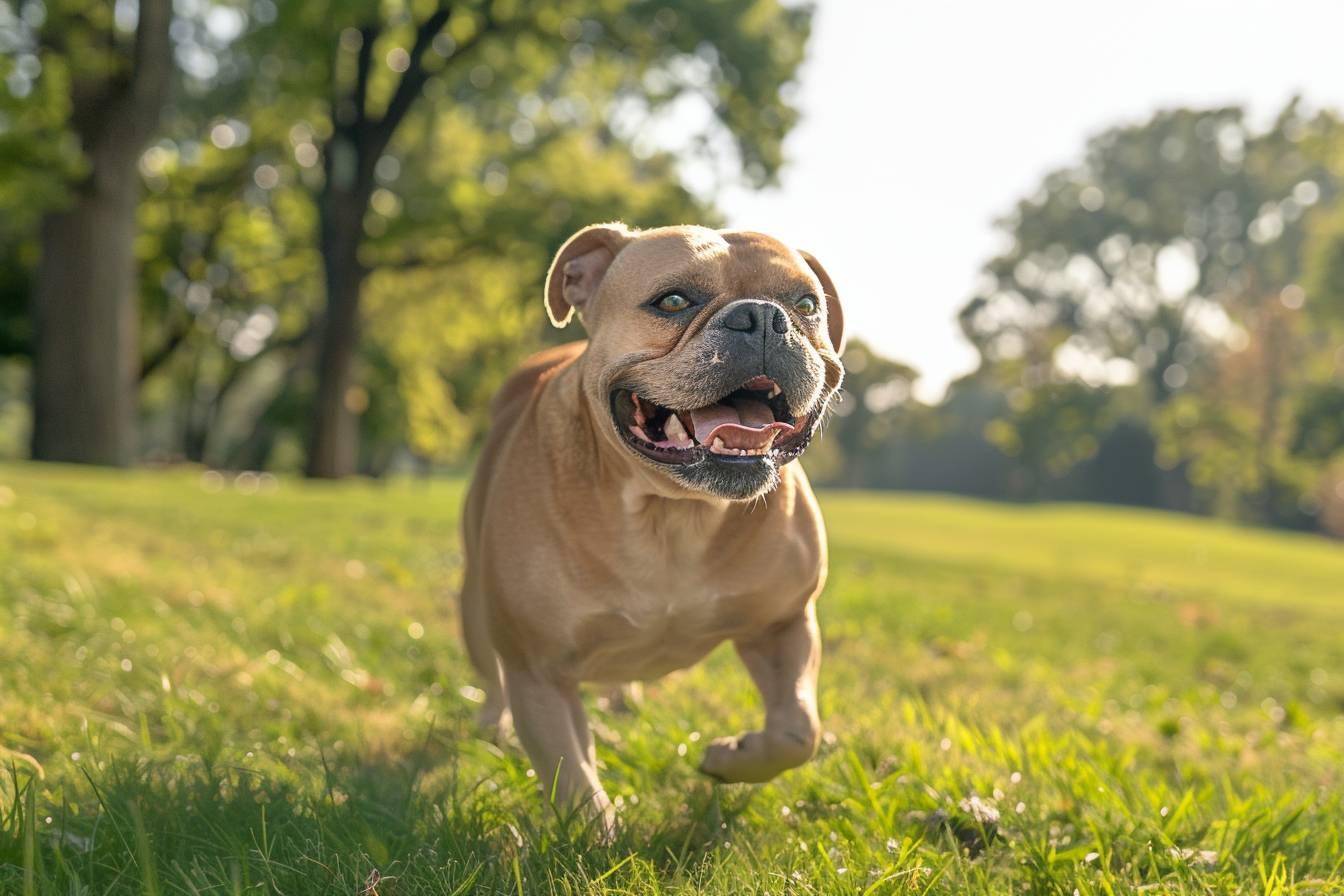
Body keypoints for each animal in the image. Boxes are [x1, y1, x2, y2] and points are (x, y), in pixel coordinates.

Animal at [459, 220, 838, 832]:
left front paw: (729, 758)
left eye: (806, 305)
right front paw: (596, 837)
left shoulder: (785, 624)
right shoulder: (538, 670)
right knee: (491, 681)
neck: (675, 511)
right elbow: (572, 774)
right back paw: (494, 726)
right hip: (475, 610)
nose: (762, 317)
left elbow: (797, 731)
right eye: (673, 301)